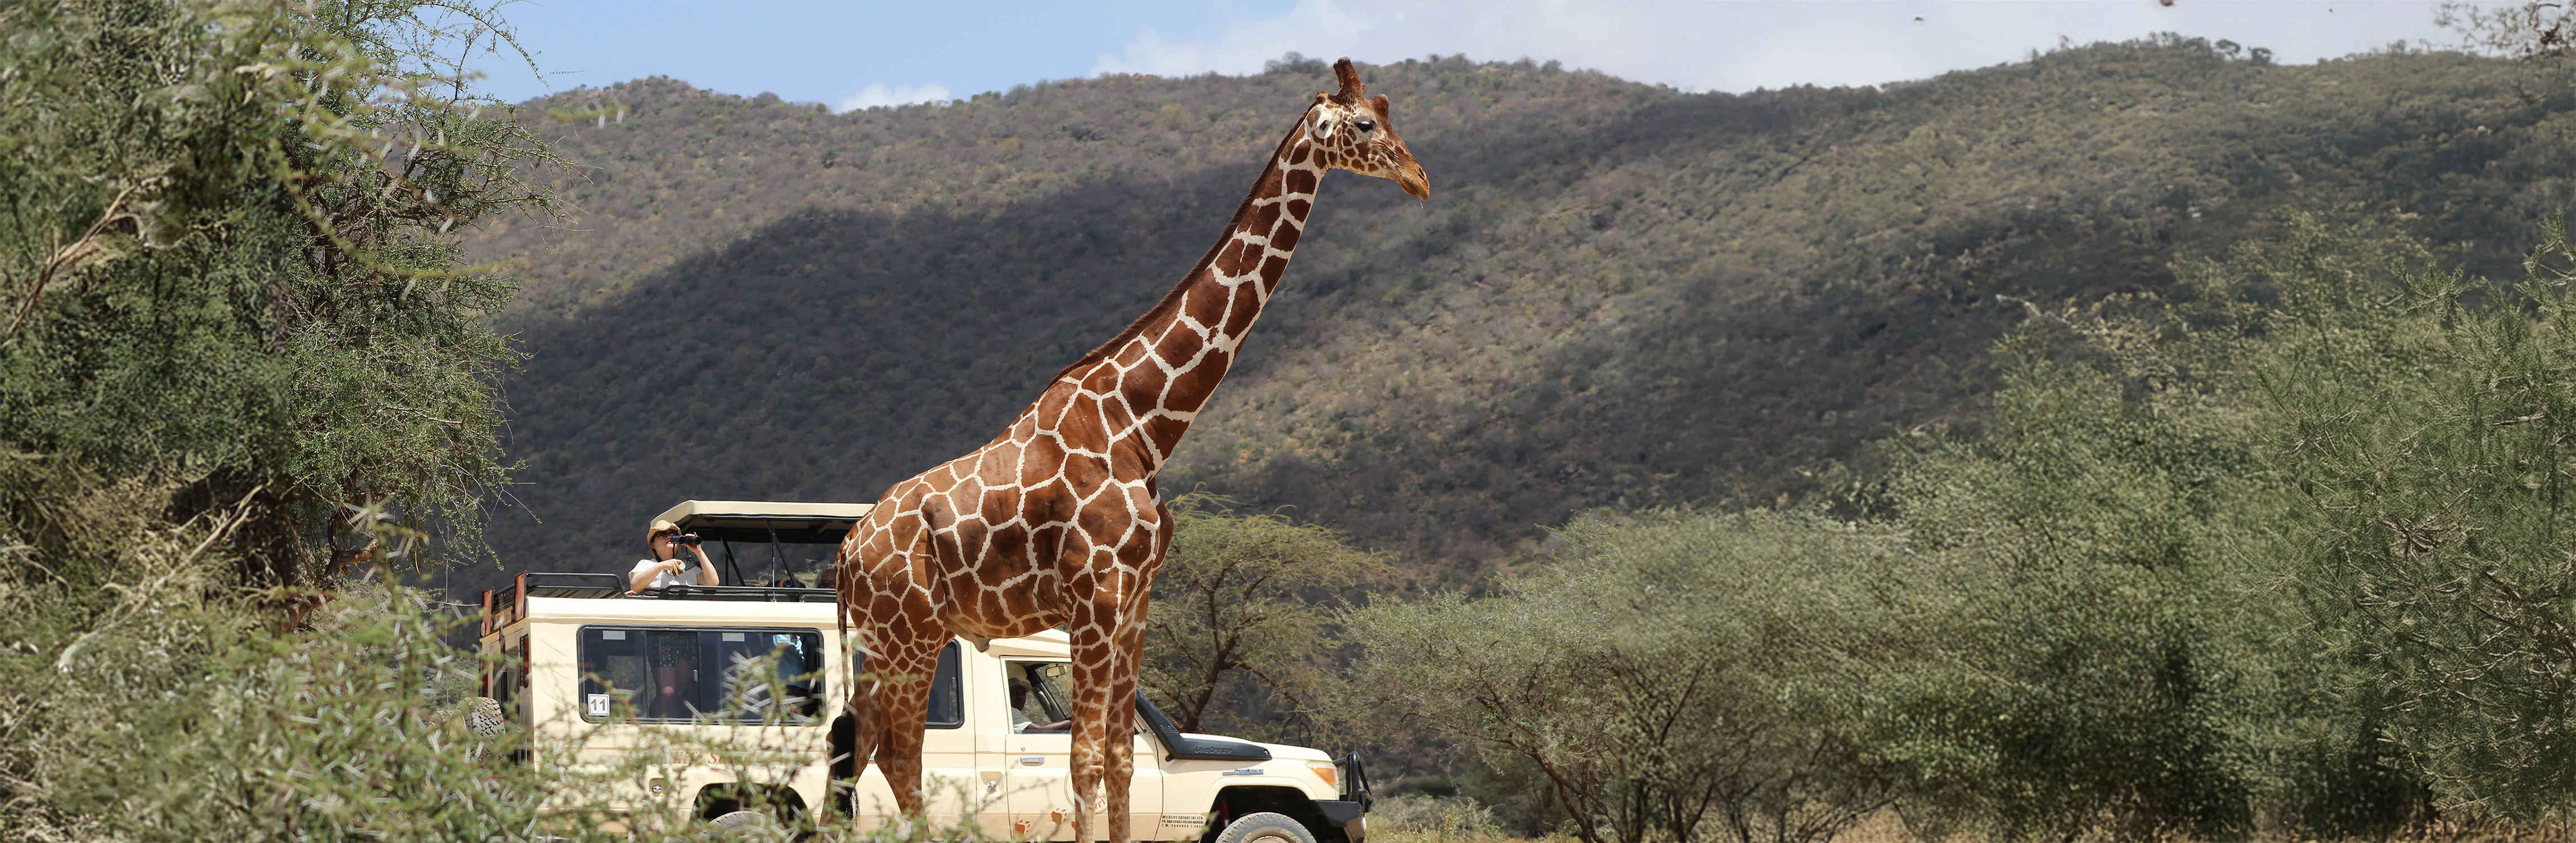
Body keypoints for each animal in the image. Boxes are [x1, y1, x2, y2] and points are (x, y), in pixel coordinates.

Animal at [832, 58, 1427, 842]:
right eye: (1364, 124)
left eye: (1389, 110)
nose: (1420, 178)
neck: (1141, 426)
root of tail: (847, 550)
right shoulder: (1095, 593)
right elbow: (1083, 756)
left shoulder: (1138, 595)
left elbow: (1119, 756)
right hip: (910, 634)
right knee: (895, 756)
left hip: (890, 638)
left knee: (859, 745)